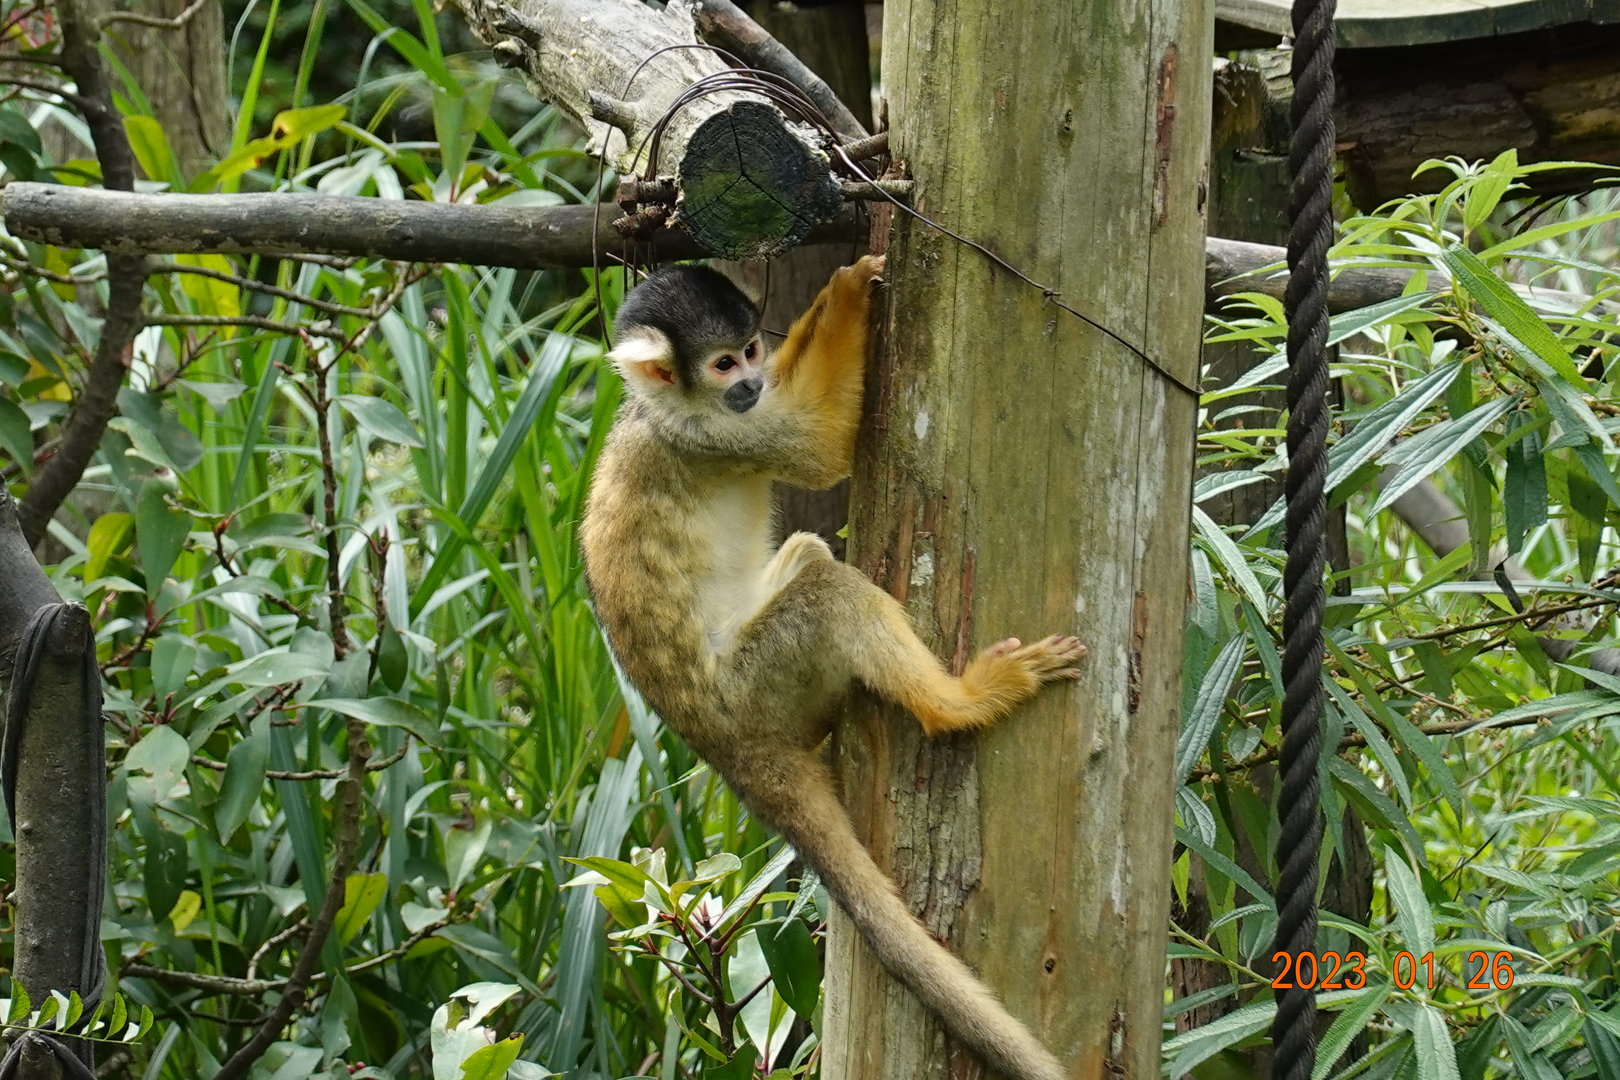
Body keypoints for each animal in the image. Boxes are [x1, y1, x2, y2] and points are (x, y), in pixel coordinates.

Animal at [580, 256, 1084, 1080]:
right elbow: (818, 450)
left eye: (754, 349)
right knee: (829, 596)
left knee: (811, 562)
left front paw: (836, 296)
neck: (658, 408)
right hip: (756, 690)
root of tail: (727, 750)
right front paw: (848, 291)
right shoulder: (711, 432)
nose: (753, 381)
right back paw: (960, 703)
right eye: (723, 365)